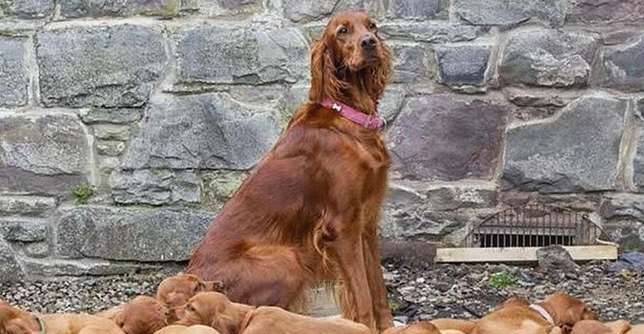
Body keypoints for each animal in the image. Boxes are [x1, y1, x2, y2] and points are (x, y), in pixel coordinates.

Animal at [186, 9, 392, 332]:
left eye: (372, 26)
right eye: (343, 31)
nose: (369, 42)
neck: (350, 120)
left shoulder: (367, 222)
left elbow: (377, 288)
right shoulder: (342, 226)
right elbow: (362, 294)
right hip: (286, 259)